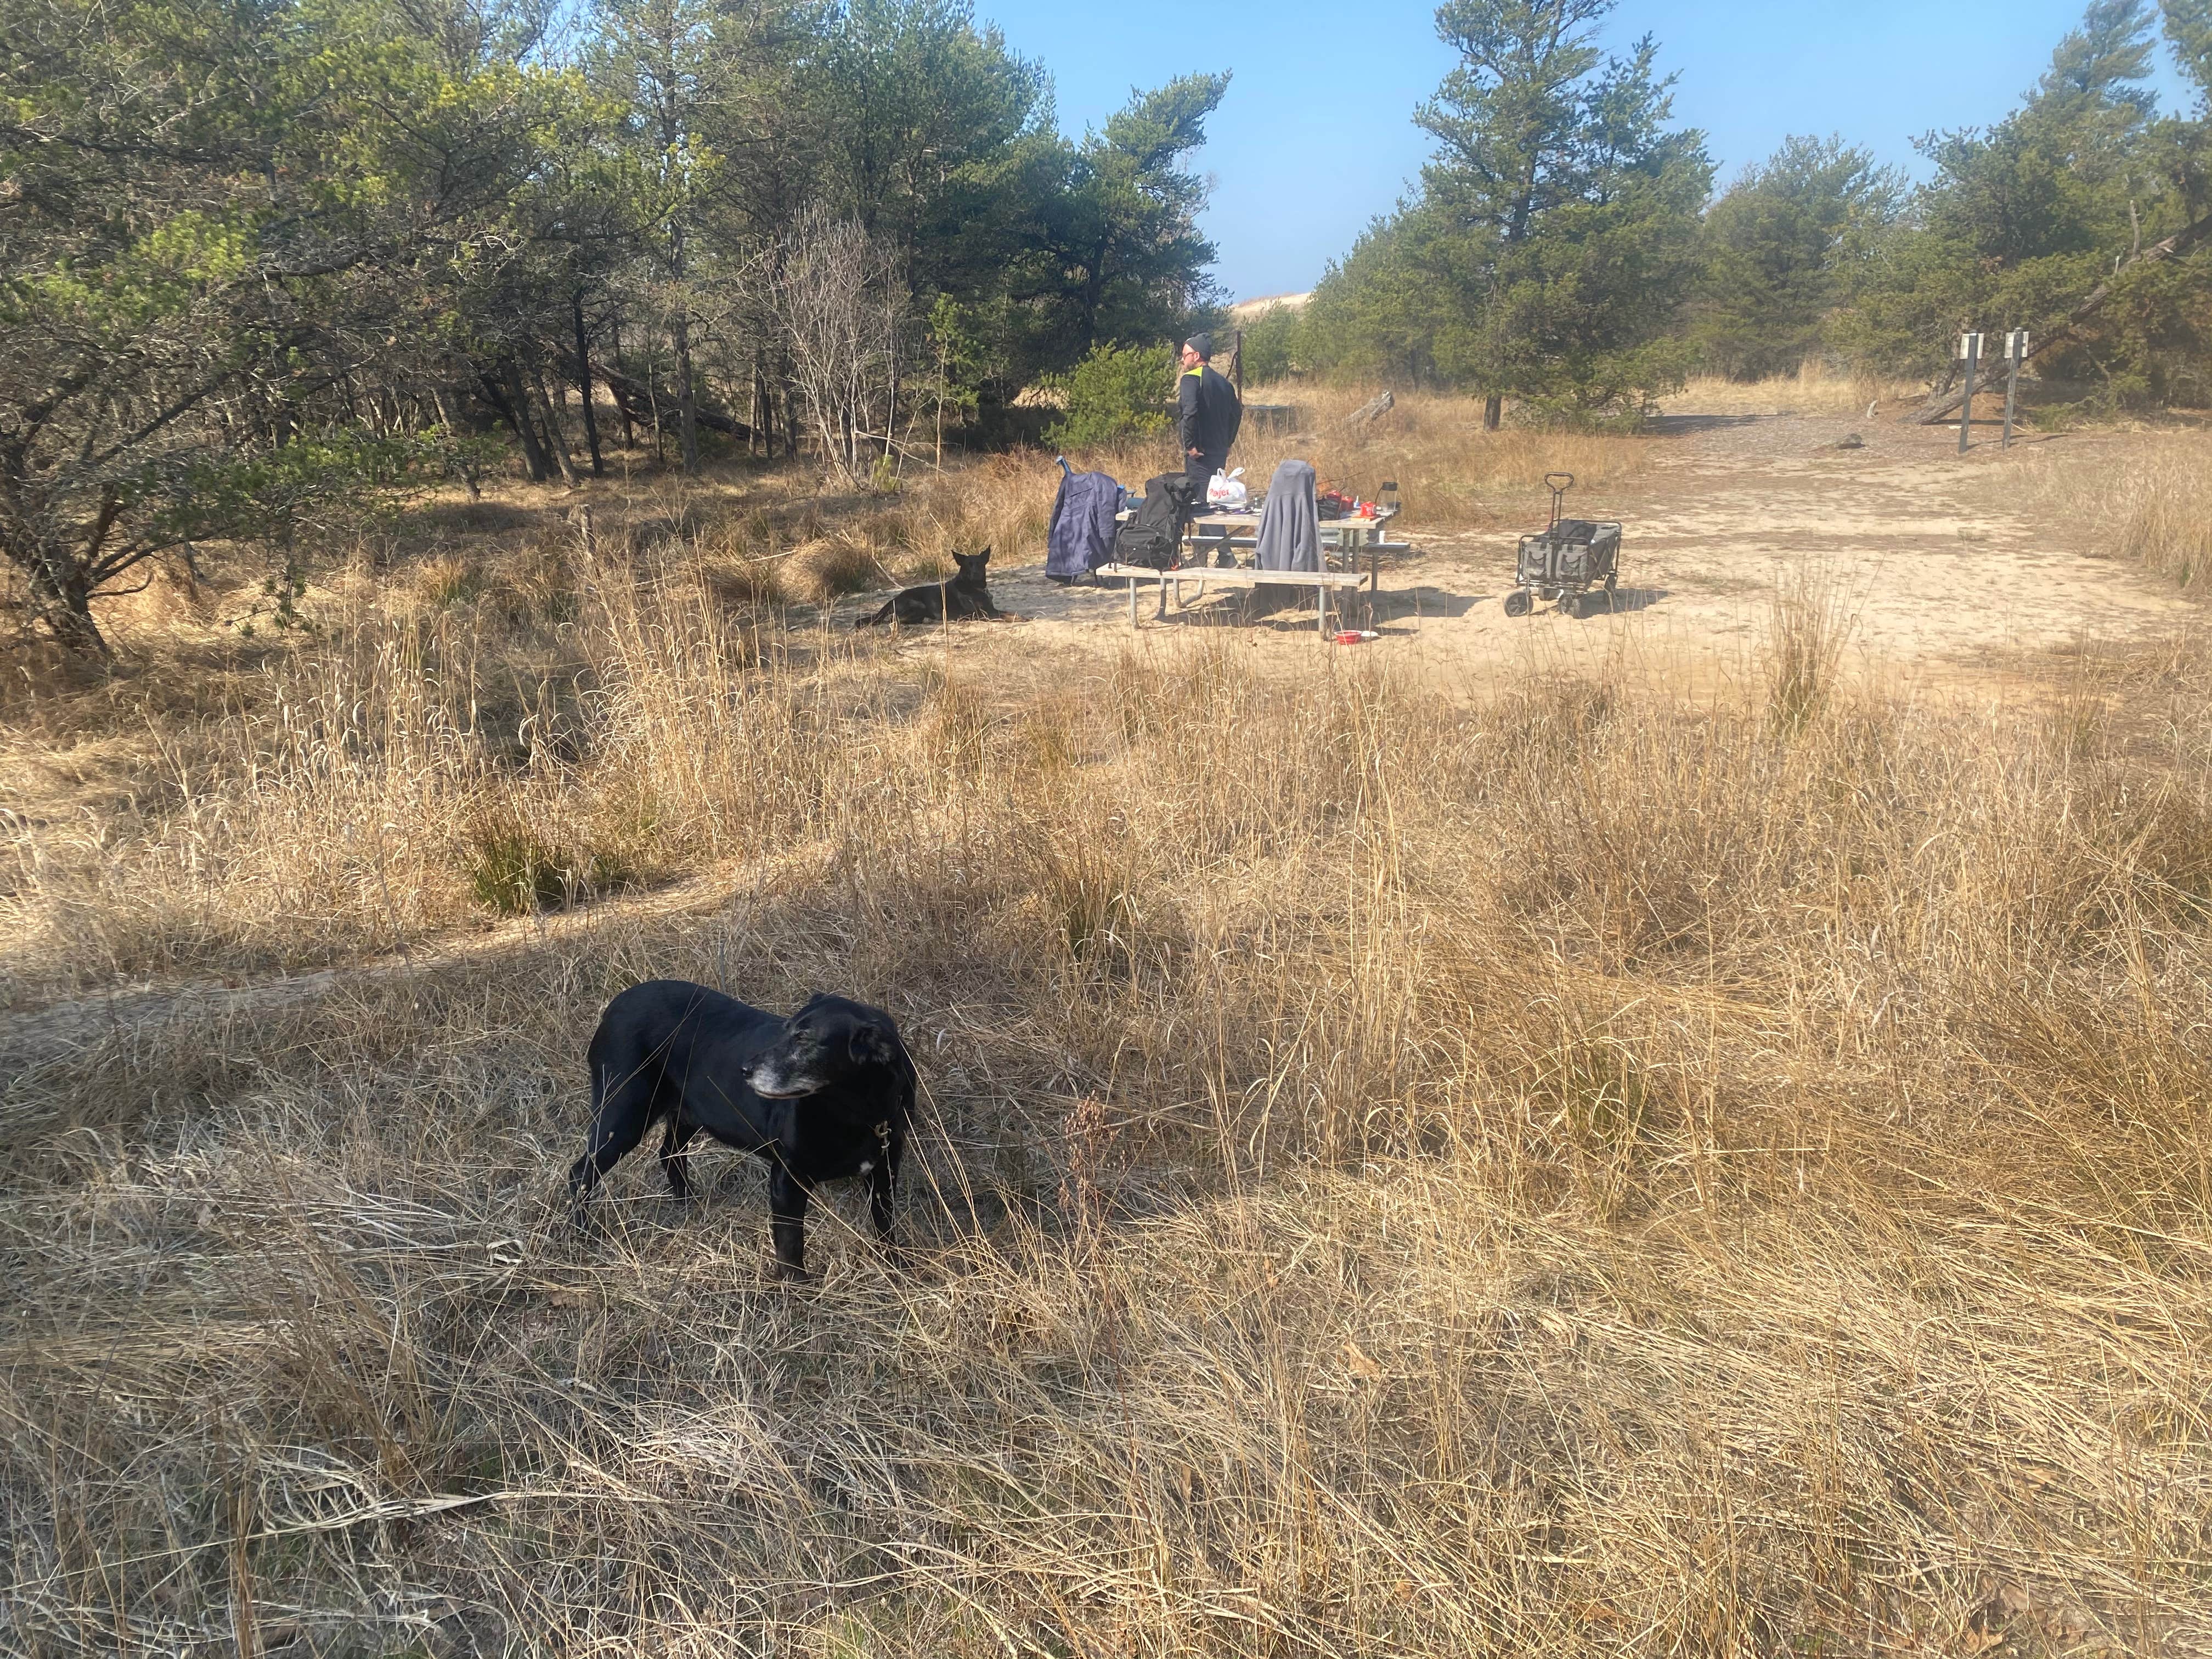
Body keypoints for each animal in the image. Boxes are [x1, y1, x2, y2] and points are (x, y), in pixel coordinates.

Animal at [575, 986, 920, 1283]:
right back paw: (584, 1234)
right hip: (624, 1116)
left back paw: (689, 1204)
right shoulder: (787, 1180)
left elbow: (885, 1226)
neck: (860, 1113)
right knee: (582, 1172)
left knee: (669, 1154)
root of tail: (614, 1006)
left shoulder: (885, 1171)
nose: (745, 1070)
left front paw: (896, 1268)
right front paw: (799, 1292)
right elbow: (791, 1245)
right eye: (785, 1029)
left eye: (804, 1040)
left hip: (689, 1112)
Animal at [854, 548, 1013, 628]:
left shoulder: (990, 610)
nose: (975, 574)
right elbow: (1003, 616)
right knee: (893, 620)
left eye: (979, 564)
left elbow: (1008, 613)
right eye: (968, 565)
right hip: (918, 605)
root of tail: (895, 598)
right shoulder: (981, 614)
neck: (974, 588)